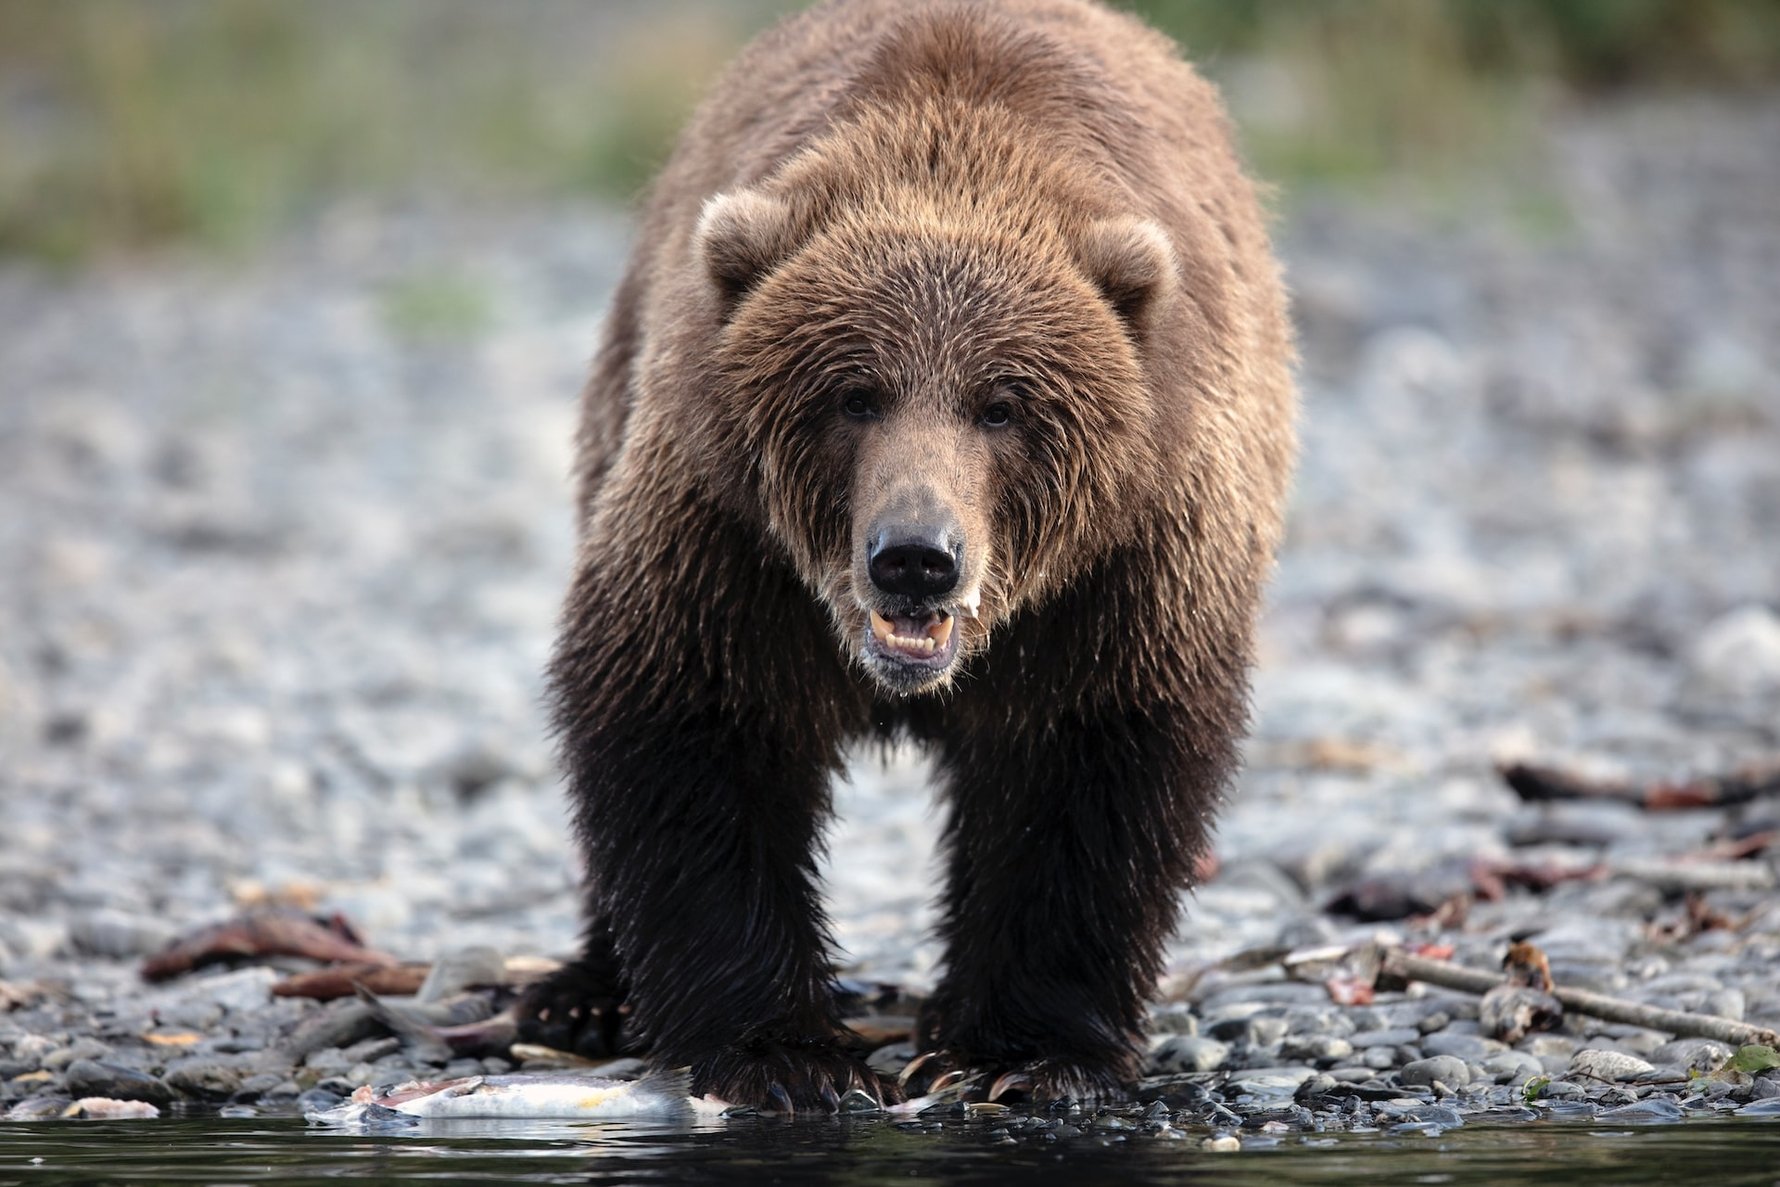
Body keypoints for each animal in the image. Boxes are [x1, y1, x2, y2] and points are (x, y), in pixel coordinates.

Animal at [519, 0, 1302, 1117]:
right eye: (854, 393)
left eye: (1002, 404)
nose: (916, 558)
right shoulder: (729, 542)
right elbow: (687, 726)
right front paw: (780, 1049)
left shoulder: (1122, 568)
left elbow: (1089, 770)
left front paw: (1016, 1050)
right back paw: (580, 992)